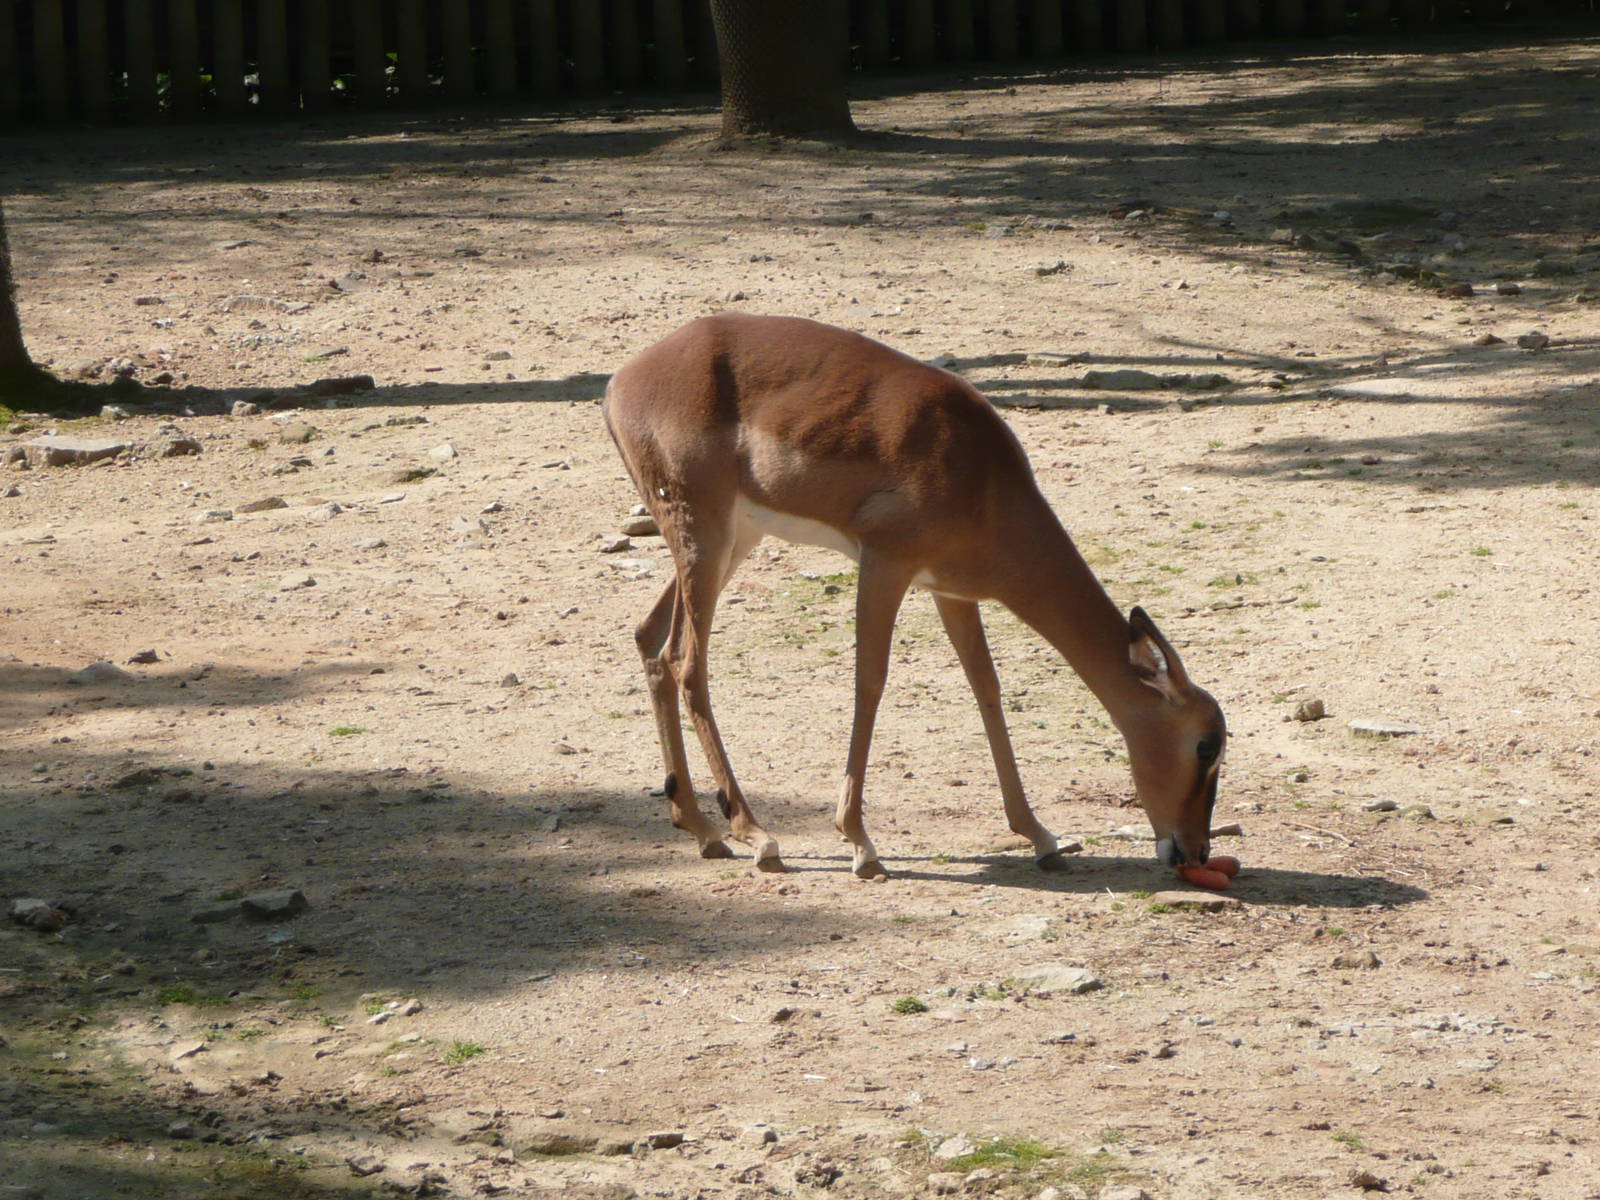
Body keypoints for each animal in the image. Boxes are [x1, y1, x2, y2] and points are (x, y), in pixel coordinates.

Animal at [602, 313, 1226, 880]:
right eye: (1205, 746)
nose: (1194, 852)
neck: (980, 477)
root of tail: (621, 382)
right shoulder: (885, 564)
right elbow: (870, 683)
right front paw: (861, 844)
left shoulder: (951, 592)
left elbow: (986, 688)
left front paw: (1041, 836)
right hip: (704, 538)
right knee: (686, 661)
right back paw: (757, 836)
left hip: (732, 540)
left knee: (650, 639)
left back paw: (703, 830)